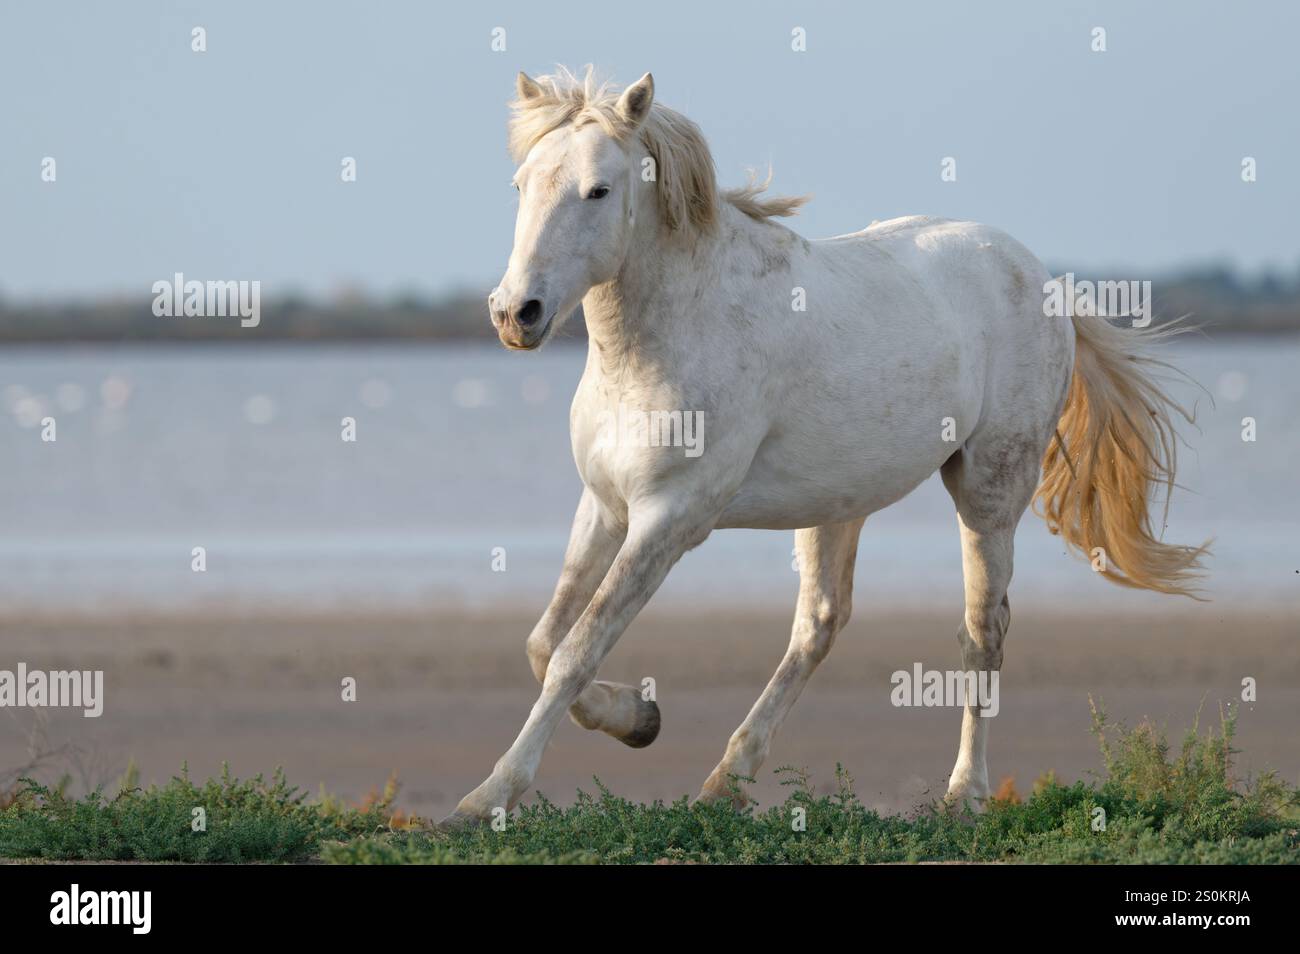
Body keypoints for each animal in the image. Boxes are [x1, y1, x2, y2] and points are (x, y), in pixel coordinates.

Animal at [442, 66, 1207, 828]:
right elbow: (545, 642)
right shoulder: (604, 506)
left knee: (982, 631)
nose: (515, 314)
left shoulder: (670, 518)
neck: (669, 334)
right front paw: (638, 718)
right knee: (820, 624)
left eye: (598, 190)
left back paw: (964, 793)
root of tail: (1044, 279)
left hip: (990, 490)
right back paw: (726, 780)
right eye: (520, 184)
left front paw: (488, 797)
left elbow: (577, 649)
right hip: (837, 505)